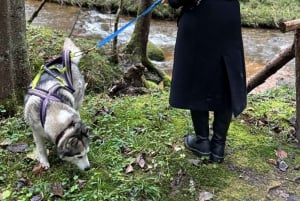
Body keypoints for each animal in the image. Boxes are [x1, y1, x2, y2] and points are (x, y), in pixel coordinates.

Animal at [24, 38, 89, 171]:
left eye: (87, 153)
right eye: (79, 156)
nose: (88, 168)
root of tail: (68, 61)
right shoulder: (36, 130)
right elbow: (41, 148)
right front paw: (44, 161)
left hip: (77, 99)